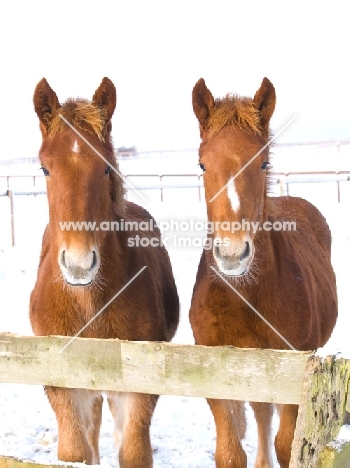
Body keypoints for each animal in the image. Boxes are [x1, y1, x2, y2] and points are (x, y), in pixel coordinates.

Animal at [30, 78, 179, 466]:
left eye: (107, 168)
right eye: (45, 169)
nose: (79, 263)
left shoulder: (137, 387)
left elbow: (133, 450)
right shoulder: (65, 387)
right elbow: (76, 450)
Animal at [190, 77, 338, 468]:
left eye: (263, 164)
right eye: (202, 165)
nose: (232, 253)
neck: (246, 298)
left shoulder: (292, 375)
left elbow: (287, 445)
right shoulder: (215, 374)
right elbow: (229, 452)